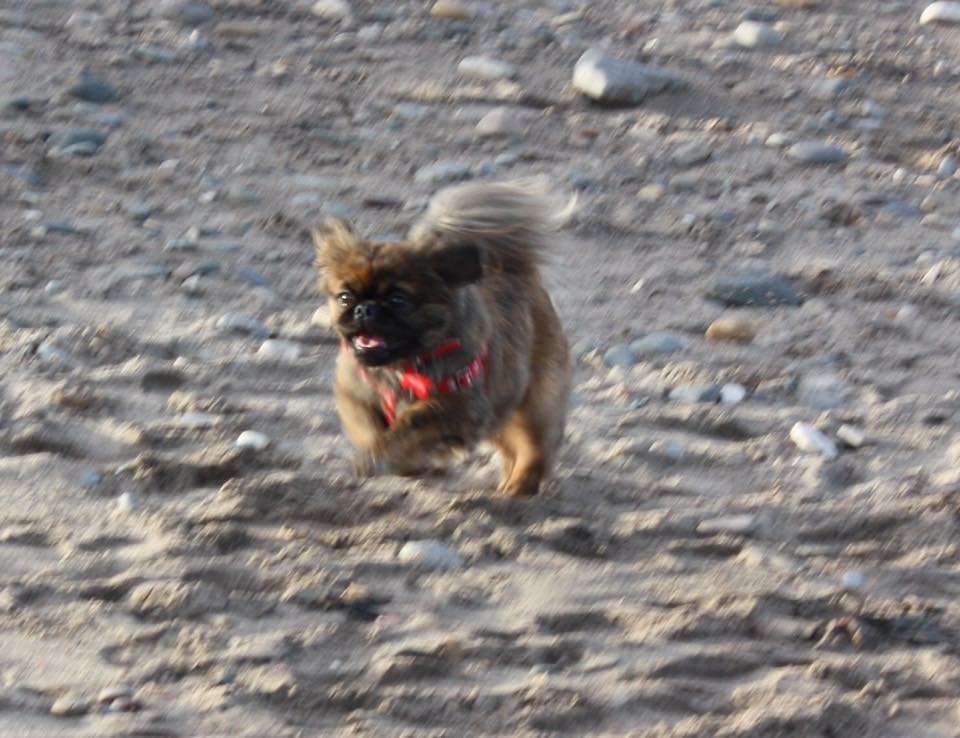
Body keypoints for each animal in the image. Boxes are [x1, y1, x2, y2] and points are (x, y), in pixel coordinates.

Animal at [314, 181, 568, 498]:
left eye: (398, 300)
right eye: (345, 297)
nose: (365, 308)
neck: (402, 367)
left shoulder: (458, 407)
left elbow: (411, 424)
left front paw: (383, 456)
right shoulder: (355, 395)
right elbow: (368, 429)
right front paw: (389, 458)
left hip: (532, 410)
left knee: (534, 452)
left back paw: (519, 486)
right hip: (503, 415)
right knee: (512, 450)